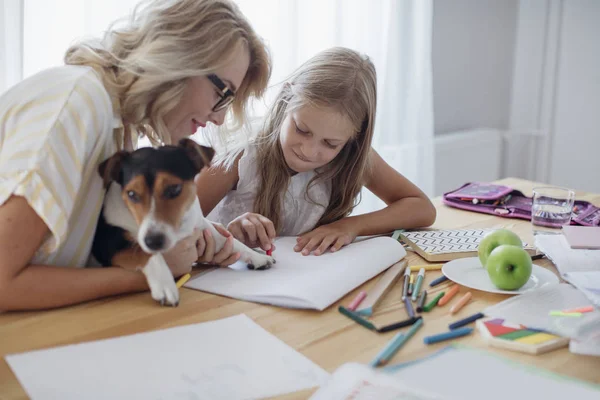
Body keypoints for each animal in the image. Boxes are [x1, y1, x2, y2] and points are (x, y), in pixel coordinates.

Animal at [92, 138, 276, 306]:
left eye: (174, 189)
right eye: (131, 194)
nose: (153, 241)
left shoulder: (200, 225)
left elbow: (228, 239)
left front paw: (257, 256)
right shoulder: (107, 244)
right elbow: (145, 253)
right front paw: (165, 284)